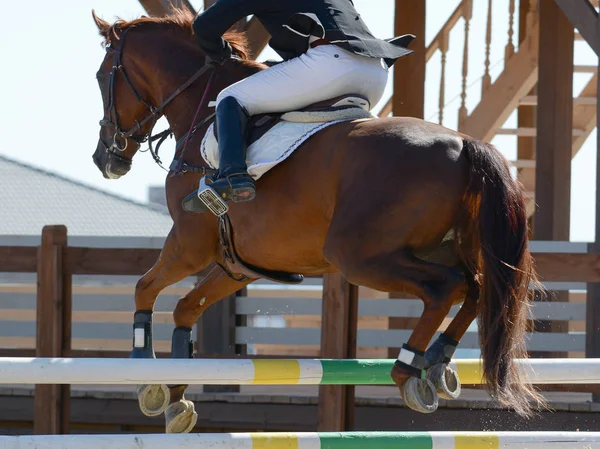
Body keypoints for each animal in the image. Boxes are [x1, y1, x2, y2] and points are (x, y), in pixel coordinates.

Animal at [90, 8, 544, 432]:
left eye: (100, 77)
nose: (104, 158)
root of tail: (465, 144)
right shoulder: (238, 265)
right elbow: (187, 307)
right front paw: (176, 397)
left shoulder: (188, 245)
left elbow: (144, 287)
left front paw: (143, 371)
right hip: (444, 248)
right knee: (477, 286)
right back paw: (436, 362)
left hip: (358, 256)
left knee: (445, 287)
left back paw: (408, 369)